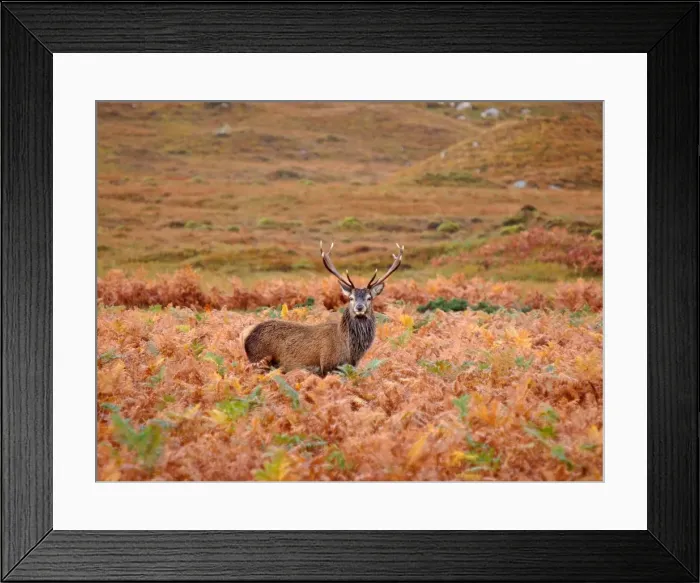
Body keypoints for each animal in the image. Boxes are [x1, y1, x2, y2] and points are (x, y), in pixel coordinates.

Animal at [241, 241, 404, 375]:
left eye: (369, 298)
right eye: (350, 298)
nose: (359, 307)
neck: (350, 351)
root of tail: (246, 336)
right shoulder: (327, 366)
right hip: (259, 362)